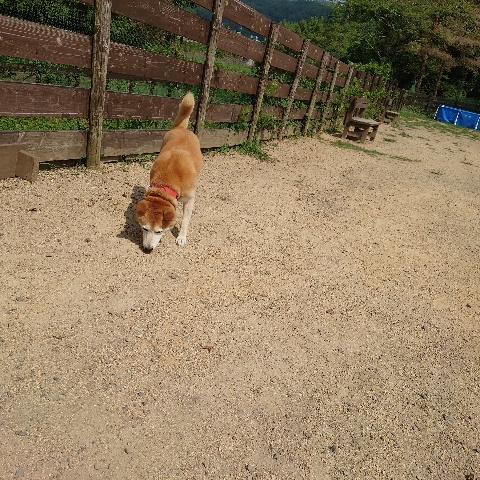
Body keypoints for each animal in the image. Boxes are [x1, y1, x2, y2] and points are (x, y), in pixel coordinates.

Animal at [135, 92, 203, 251]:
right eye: (144, 228)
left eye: (159, 231)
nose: (147, 249)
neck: (168, 182)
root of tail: (181, 128)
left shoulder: (189, 200)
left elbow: (185, 220)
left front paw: (182, 237)